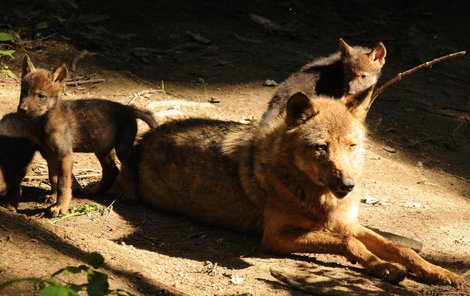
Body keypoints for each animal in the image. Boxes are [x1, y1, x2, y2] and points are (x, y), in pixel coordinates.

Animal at [18, 55, 158, 216]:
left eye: (41, 96)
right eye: (23, 92)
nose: (21, 109)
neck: (44, 120)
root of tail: (130, 109)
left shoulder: (65, 155)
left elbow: (62, 184)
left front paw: (60, 207)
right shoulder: (50, 154)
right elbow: (53, 178)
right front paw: (52, 197)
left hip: (122, 148)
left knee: (130, 168)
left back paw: (131, 196)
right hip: (102, 148)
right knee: (112, 171)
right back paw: (95, 192)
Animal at [119, 86, 460, 286]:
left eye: (351, 146)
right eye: (321, 148)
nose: (349, 185)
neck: (317, 196)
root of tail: (146, 139)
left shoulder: (347, 223)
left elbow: (400, 248)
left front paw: (440, 272)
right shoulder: (276, 237)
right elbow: (350, 245)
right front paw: (383, 268)